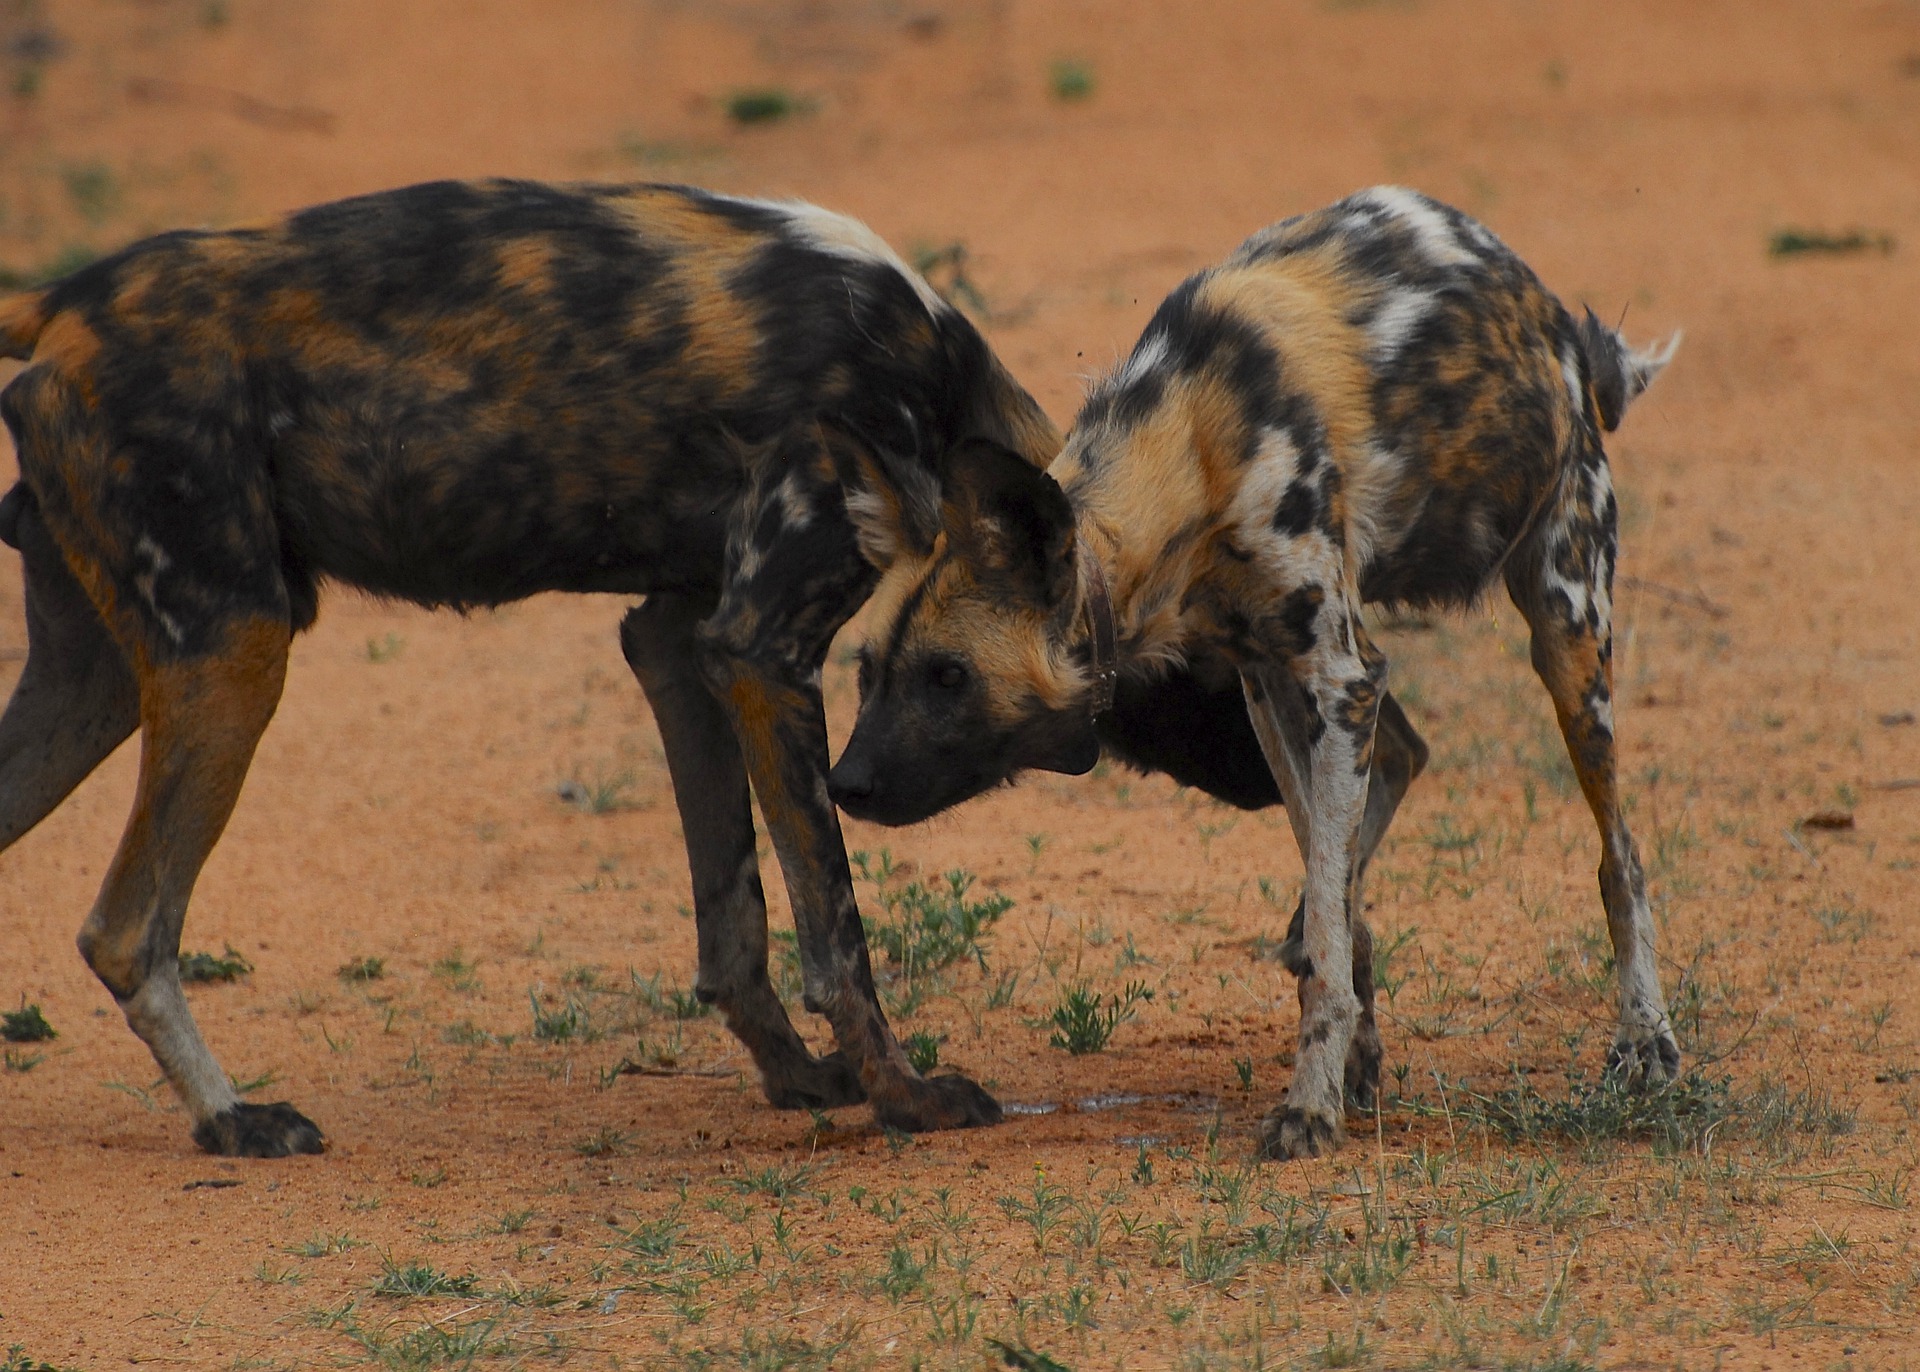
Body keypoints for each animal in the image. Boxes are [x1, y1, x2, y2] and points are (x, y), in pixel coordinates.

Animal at [0, 177, 1090, 1151]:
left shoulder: (682, 642)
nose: (856, 784)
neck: (932, 386)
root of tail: (68, 301)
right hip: (235, 650)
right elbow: (837, 932)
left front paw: (796, 1078)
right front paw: (904, 1098)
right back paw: (231, 1120)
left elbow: (732, 914)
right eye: (922, 675)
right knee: (126, 928)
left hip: (99, 681)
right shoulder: (762, 650)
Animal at [837, 188, 1681, 1159]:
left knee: (1621, 856)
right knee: (1402, 784)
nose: (843, 782)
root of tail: (1553, 320)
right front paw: (1344, 1057)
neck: (1191, 445)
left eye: (947, 677)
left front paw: (1308, 1108)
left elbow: (1326, 922)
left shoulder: (1339, 677)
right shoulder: (1272, 683)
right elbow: (1326, 910)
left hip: (1568, 636)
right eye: (866, 674)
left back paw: (1645, 1042)